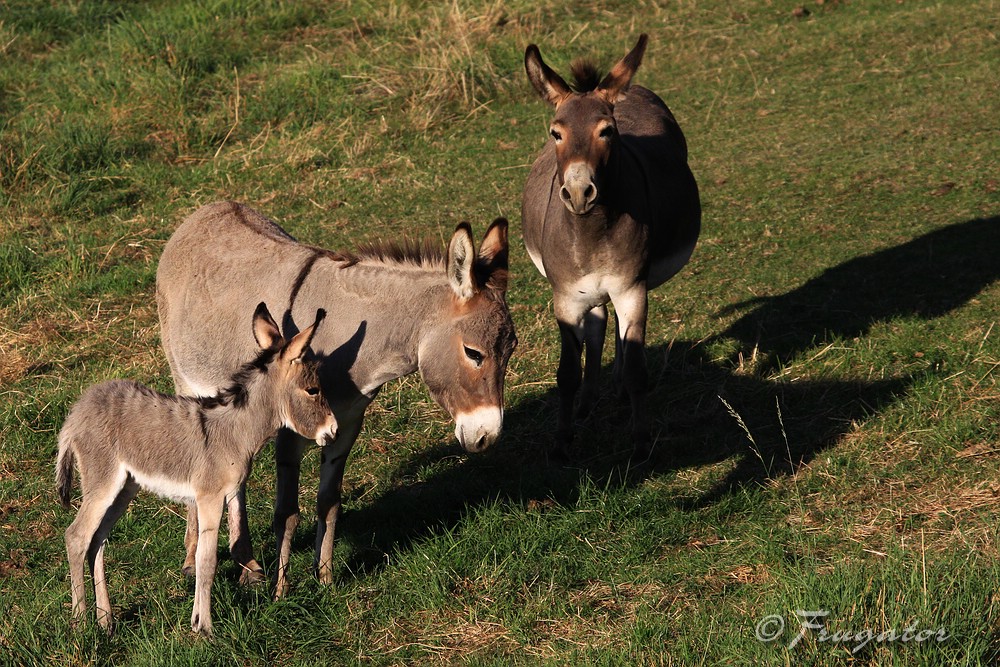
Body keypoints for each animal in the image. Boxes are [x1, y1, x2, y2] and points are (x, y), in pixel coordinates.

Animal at [55, 302, 336, 636]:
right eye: (313, 390)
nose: (333, 430)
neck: (236, 430)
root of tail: (77, 413)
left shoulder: (219, 496)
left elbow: (206, 557)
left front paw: (198, 622)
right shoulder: (209, 497)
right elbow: (207, 561)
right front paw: (205, 628)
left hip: (124, 486)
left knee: (97, 540)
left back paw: (105, 620)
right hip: (102, 481)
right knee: (76, 537)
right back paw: (79, 623)